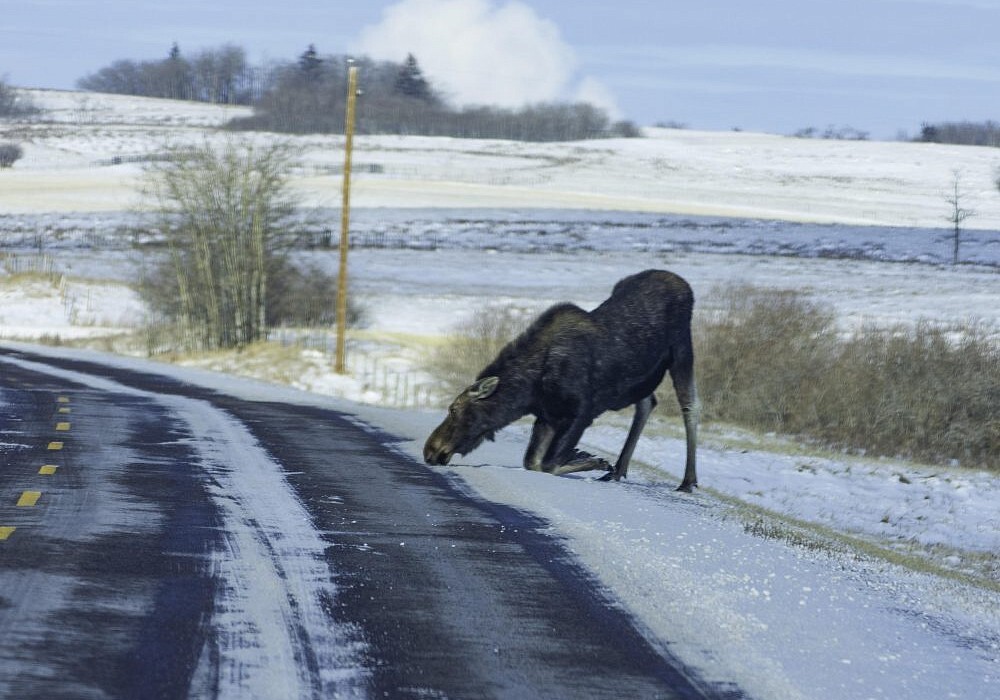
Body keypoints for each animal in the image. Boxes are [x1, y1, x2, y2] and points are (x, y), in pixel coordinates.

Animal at [426, 270, 700, 492]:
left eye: (453, 409)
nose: (430, 450)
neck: (529, 390)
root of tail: (684, 284)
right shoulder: (547, 415)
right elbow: (533, 462)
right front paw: (588, 459)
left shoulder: (581, 411)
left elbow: (547, 463)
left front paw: (593, 459)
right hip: (643, 379)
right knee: (647, 403)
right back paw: (619, 470)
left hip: (681, 349)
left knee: (690, 405)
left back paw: (687, 482)